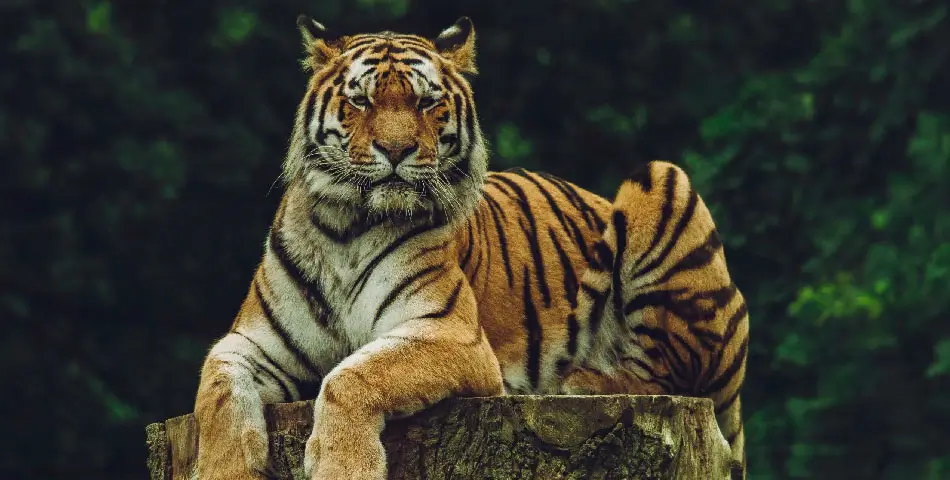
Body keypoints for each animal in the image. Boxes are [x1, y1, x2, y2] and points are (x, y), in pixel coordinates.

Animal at [192, 14, 749, 480]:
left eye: (426, 102)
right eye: (362, 101)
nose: (396, 150)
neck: (346, 227)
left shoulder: (450, 334)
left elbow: (351, 375)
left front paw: (342, 466)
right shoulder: (250, 342)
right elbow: (216, 392)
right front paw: (224, 470)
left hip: (661, 180)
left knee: (670, 376)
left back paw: (578, 379)